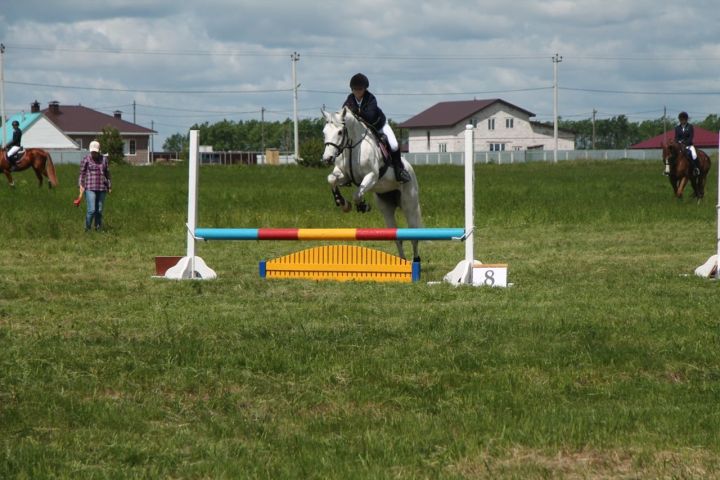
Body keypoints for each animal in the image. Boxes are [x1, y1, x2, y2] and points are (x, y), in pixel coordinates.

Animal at [320, 106, 422, 260]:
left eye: (340, 132)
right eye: (324, 132)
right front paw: (343, 203)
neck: (352, 147)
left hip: (409, 204)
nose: (327, 158)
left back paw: (415, 260)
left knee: (414, 236)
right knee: (397, 237)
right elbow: (331, 179)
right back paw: (402, 260)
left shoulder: (372, 176)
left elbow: (357, 194)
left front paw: (362, 205)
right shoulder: (343, 175)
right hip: (386, 207)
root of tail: (410, 168)